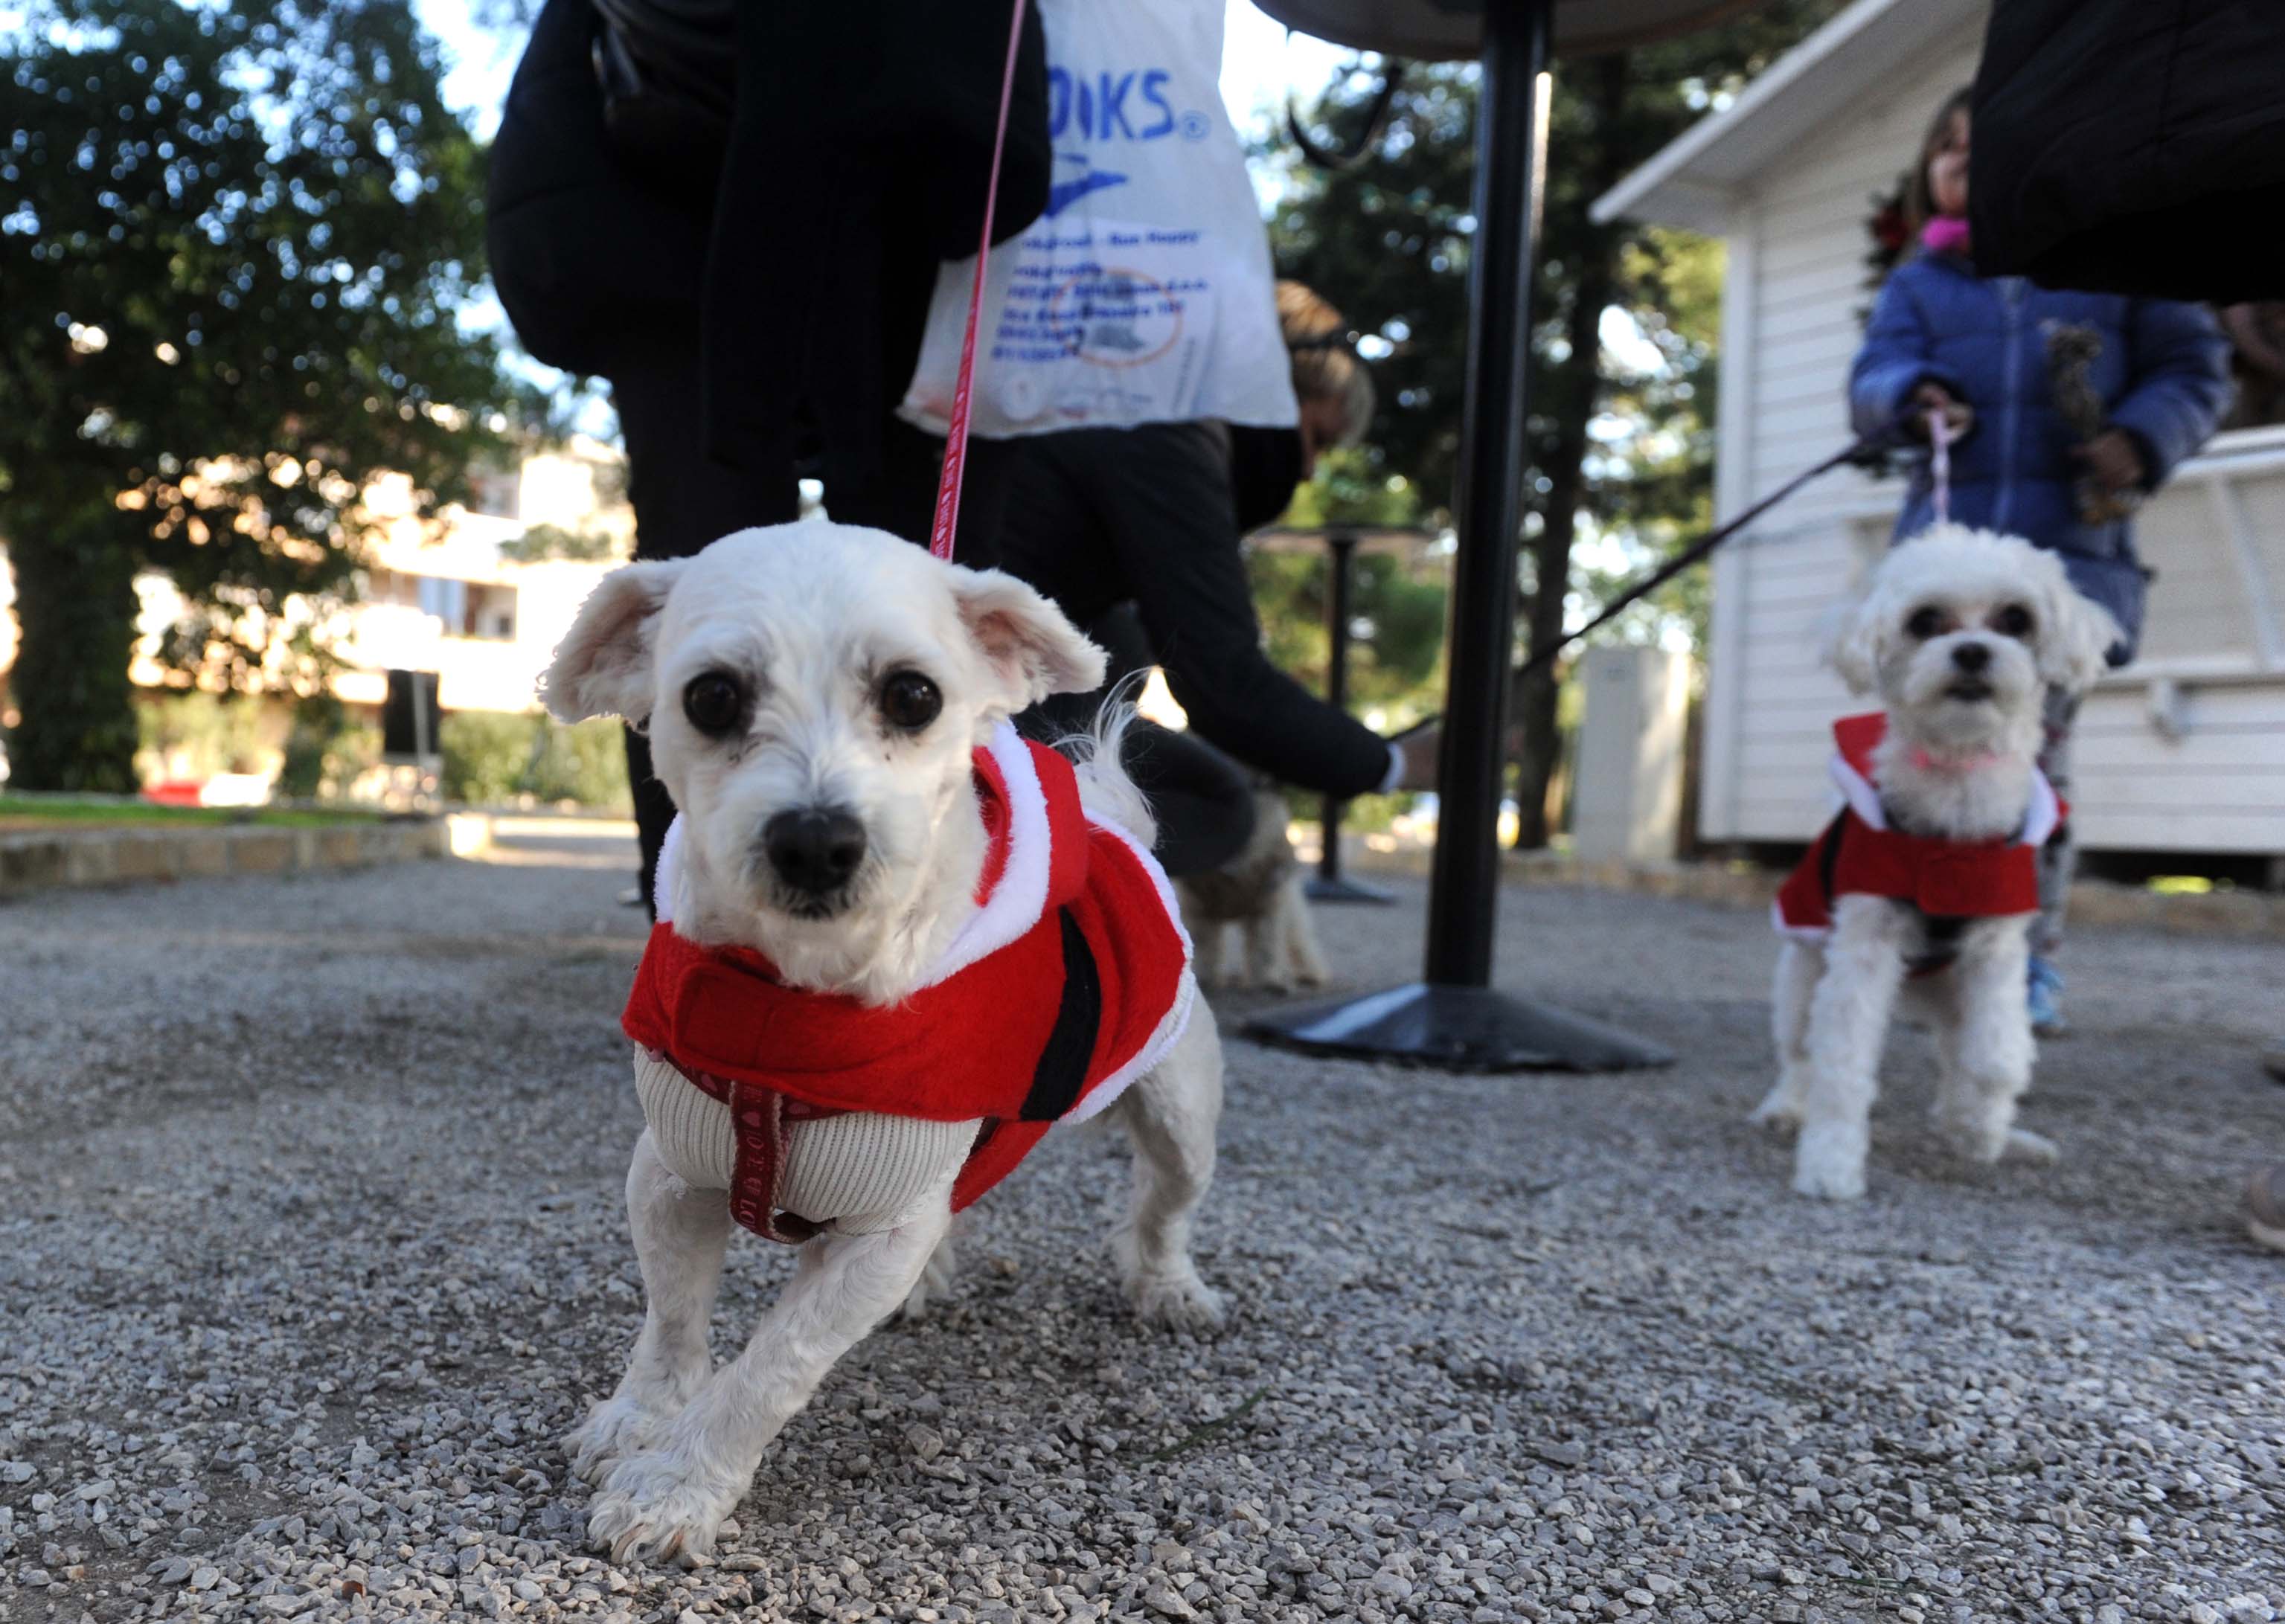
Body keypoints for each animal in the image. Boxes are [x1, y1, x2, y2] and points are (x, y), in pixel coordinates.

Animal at [534, 521, 1225, 1562]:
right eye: (710, 696)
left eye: (913, 694)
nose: (816, 840)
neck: (789, 1007)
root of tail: (1118, 824)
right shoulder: (669, 1170)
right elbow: (671, 1318)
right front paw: (641, 1418)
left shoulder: (877, 1229)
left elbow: (768, 1367)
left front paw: (677, 1484)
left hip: (1181, 1110)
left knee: (1162, 1203)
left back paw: (1168, 1284)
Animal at [1746, 527, 2120, 1196]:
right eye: (1923, 621)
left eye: (2015, 618)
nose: (1971, 651)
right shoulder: (1863, 948)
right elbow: (1841, 1062)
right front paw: (1830, 1164)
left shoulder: (1996, 949)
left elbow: (1995, 1055)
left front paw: (1984, 1126)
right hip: (1802, 972)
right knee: (1798, 1052)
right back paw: (1785, 1108)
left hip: (1950, 994)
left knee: (1955, 1057)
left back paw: (1992, 1134)